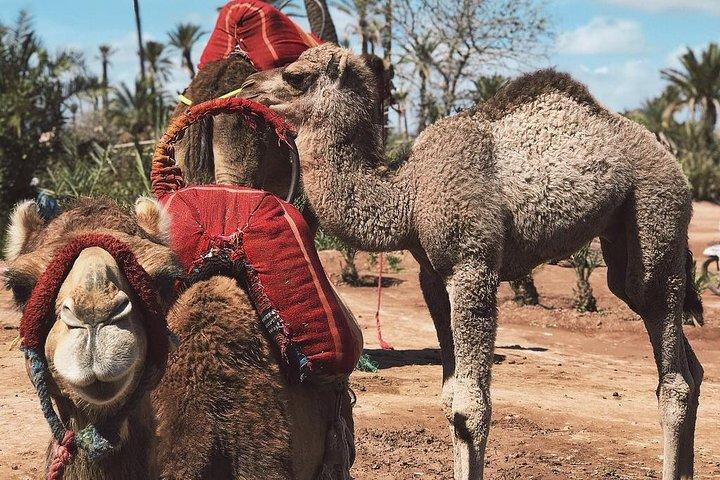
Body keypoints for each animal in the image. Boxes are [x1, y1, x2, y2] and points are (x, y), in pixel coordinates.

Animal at [240, 43, 705, 480]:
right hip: (623, 244)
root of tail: (671, 159)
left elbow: (470, 406)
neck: (408, 196)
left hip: (656, 216)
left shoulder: (471, 265)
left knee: (674, 377)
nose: (247, 86)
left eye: (295, 75)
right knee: (682, 355)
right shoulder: (431, 276)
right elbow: (449, 396)